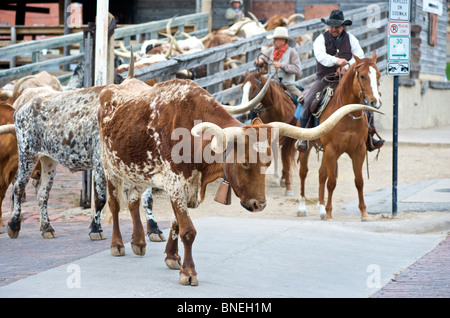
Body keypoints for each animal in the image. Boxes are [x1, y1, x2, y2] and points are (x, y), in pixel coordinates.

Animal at [290, 51, 382, 221]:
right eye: (362, 76)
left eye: (378, 75)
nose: (375, 102)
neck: (347, 114)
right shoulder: (332, 149)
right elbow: (331, 182)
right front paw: (329, 213)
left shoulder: (358, 150)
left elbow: (359, 181)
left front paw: (364, 213)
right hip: (307, 148)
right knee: (303, 173)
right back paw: (302, 208)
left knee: (321, 174)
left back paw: (320, 208)